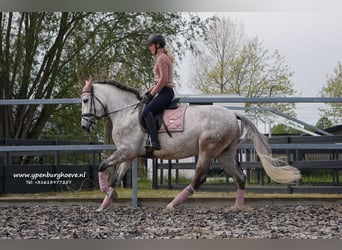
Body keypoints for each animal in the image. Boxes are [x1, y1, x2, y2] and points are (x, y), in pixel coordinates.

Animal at [79, 79, 300, 212]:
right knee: (240, 177)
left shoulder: (127, 151)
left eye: (85, 99)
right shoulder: (129, 154)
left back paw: (172, 204)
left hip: (207, 150)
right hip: (224, 155)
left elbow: (102, 167)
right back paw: (236, 207)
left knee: (198, 179)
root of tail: (232, 113)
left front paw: (106, 194)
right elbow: (115, 177)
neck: (127, 112)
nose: (84, 125)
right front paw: (105, 202)